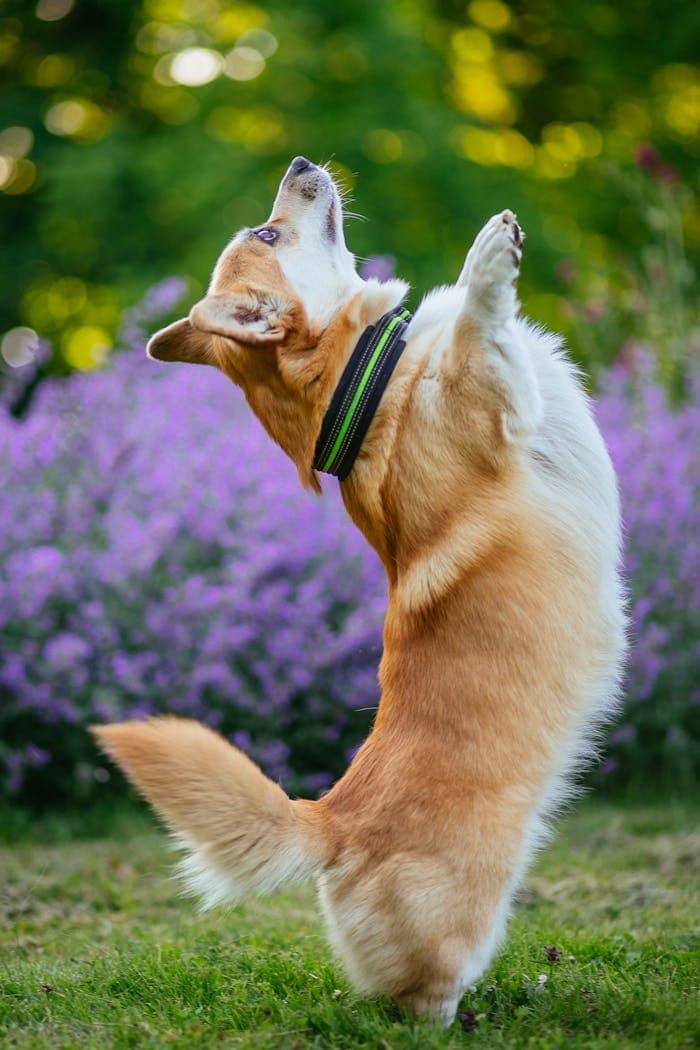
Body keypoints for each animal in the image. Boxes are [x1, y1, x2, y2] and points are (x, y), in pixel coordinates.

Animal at [91, 155, 625, 1024]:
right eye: (268, 232)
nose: (300, 163)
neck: (360, 384)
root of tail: (330, 822)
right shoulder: (491, 392)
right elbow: (478, 320)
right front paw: (489, 256)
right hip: (460, 919)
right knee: (418, 994)